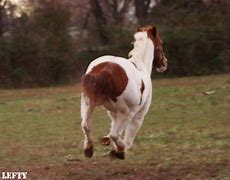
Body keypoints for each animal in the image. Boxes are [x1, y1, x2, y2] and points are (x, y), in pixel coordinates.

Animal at [80, 25, 167, 159]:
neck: (141, 66)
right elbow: (127, 137)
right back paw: (119, 151)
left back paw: (89, 149)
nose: (164, 63)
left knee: (86, 125)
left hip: (88, 104)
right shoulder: (138, 116)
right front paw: (117, 150)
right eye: (161, 42)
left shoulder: (113, 114)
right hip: (126, 112)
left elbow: (113, 129)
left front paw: (106, 142)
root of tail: (105, 69)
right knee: (115, 135)